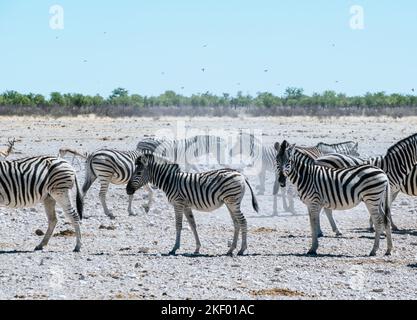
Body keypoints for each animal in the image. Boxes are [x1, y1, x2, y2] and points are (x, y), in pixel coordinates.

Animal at [125, 154, 258, 256]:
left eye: (139, 172)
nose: (127, 190)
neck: (170, 181)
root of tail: (240, 174)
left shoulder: (178, 203)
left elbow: (178, 225)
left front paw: (174, 248)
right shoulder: (186, 205)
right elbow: (192, 225)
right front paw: (197, 248)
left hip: (232, 201)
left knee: (243, 221)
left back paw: (242, 250)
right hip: (229, 203)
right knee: (236, 223)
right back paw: (231, 250)